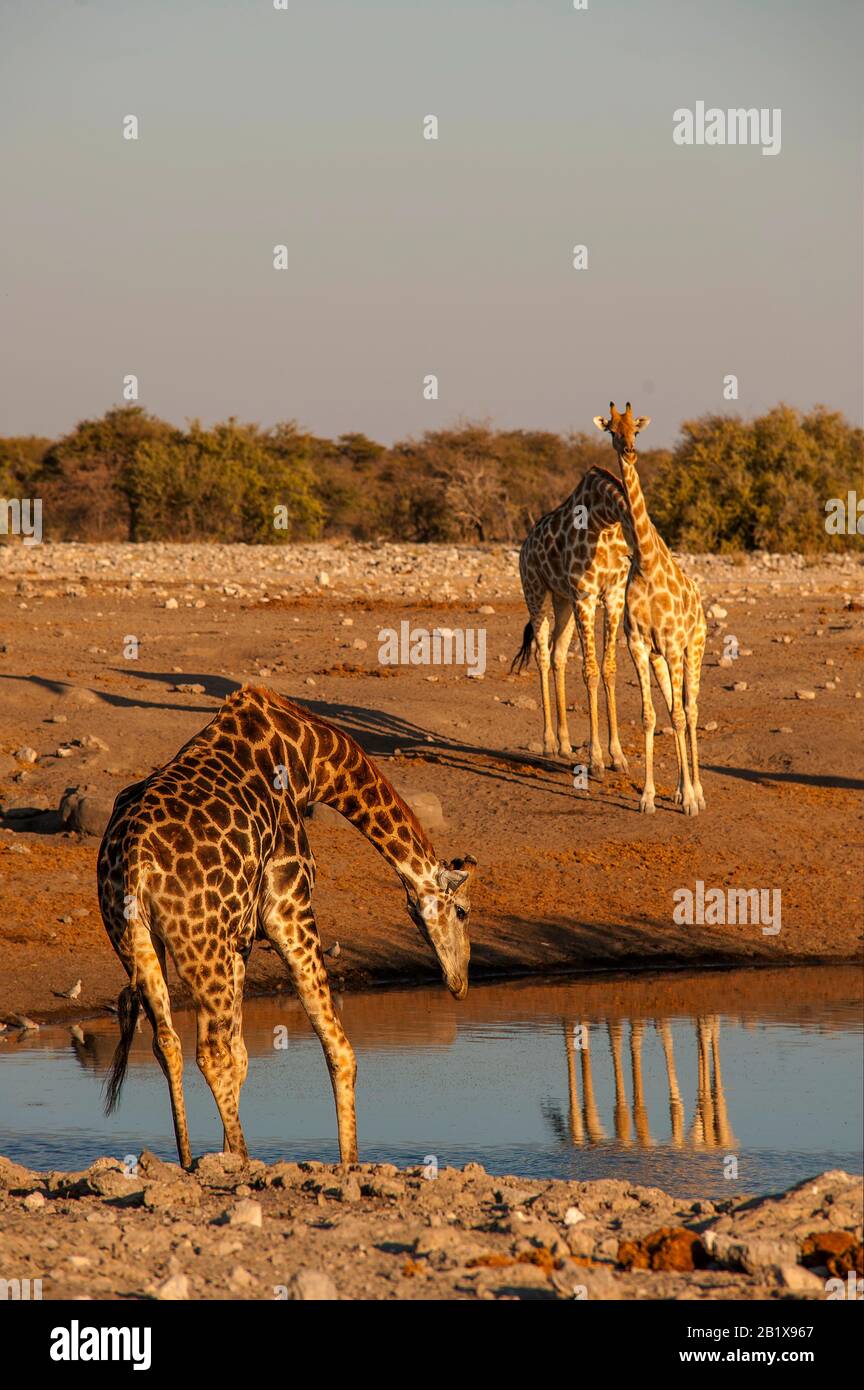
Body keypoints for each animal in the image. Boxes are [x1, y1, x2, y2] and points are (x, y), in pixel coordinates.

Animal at [101, 683, 480, 1173]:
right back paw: (243, 1161)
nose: (459, 982)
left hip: (141, 941)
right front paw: (348, 1164)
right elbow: (339, 1049)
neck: (310, 759)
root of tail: (133, 859)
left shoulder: (239, 938)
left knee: (169, 1043)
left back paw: (188, 1162)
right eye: (464, 911)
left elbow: (242, 1056)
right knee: (211, 1050)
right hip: (201, 946)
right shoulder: (289, 906)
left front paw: (221, 1151)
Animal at [511, 464, 633, 772]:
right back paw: (549, 744)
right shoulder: (585, 597)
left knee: (558, 655)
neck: (606, 522)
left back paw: (565, 745)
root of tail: (525, 545)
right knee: (542, 655)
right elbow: (590, 671)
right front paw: (597, 759)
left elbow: (609, 669)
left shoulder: (614, 597)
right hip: (536, 592)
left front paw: (618, 756)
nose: (631, 557)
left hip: (562, 599)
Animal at [594, 403, 711, 811]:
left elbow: (679, 715)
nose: (629, 451)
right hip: (662, 659)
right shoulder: (639, 644)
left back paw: (697, 791)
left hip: (693, 649)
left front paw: (691, 800)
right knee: (673, 706)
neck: (645, 561)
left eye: (637, 430)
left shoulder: (675, 644)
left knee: (690, 710)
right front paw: (647, 797)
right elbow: (650, 716)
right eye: (612, 430)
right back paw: (677, 788)